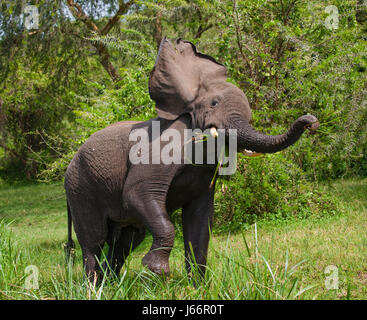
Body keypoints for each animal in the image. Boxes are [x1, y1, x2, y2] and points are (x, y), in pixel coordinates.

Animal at [64, 38, 320, 282]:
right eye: (214, 103)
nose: (311, 122)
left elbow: (200, 220)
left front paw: (197, 287)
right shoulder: (163, 145)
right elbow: (138, 193)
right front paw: (159, 272)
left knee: (126, 241)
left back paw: (110, 285)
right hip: (80, 188)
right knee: (94, 240)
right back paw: (93, 287)